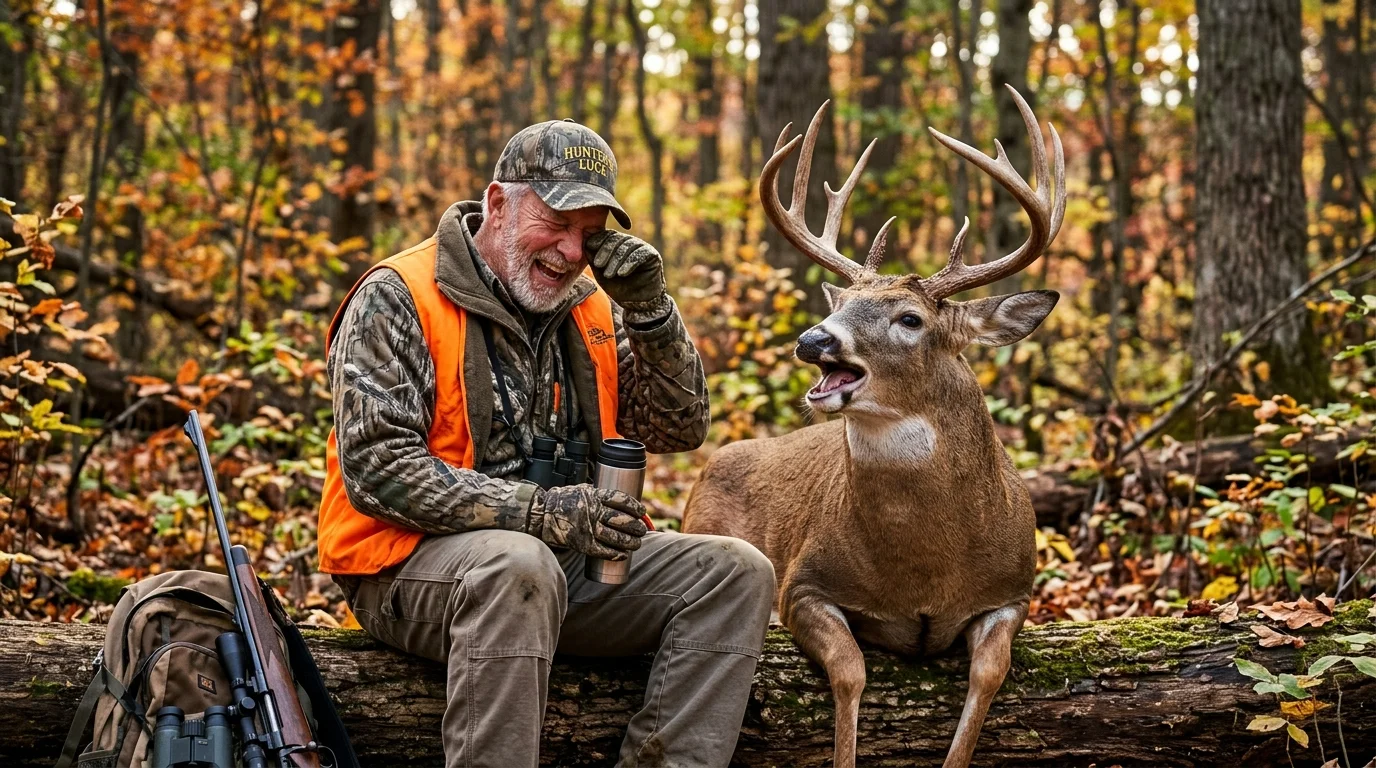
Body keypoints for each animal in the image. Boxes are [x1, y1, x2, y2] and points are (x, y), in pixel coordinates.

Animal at [682, 85, 1065, 768]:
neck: (926, 572)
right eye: (845, 304)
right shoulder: (803, 584)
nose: (813, 339)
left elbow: (989, 672)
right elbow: (851, 671)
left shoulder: (1015, 590)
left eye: (910, 318)